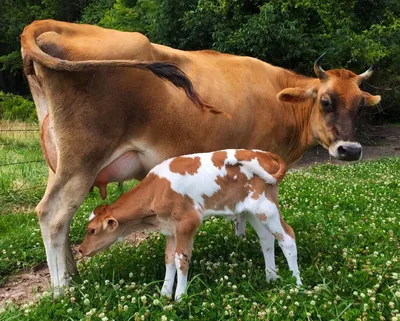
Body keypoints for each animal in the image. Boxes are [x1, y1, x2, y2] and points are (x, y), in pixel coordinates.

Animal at [79, 149, 300, 298]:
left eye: (92, 230)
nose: (81, 249)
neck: (157, 190)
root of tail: (264, 153)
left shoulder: (187, 223)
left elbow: (181, 260)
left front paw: (180, 296)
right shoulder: (169, 229)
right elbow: (169, 259)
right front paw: (164, 294)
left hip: (267, 207)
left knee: (288, 237)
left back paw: (297, 284)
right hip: (252, 210)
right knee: (267, 239)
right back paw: (271, 278)